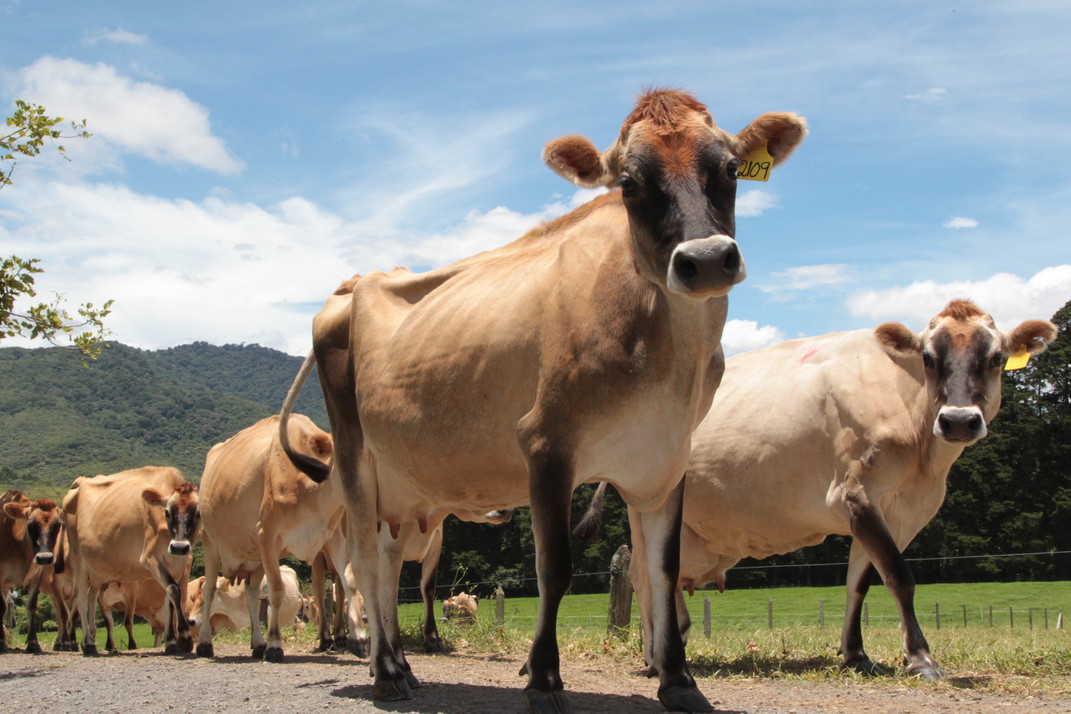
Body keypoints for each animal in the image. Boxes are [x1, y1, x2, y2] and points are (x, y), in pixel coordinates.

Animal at [61, 466, 201, 655]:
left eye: (198, 513)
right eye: (167, 512)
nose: (179, 546)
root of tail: (81, 481)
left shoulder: (180, 562)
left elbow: (170, 598)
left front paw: (171, 641)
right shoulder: (150, 557)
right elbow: (174, 590)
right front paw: (184, 639)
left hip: (96, 570)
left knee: (91, 597)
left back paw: (91, 640)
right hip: (78, 558)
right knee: (81, 598)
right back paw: (88, 644)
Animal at [282, 90, 805, 714]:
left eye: (729, 169)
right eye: (628, 183)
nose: (703, 260)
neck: (669, 354)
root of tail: (356, 282)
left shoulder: (666, 456)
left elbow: (662, 568)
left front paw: (678, 680)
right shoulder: (546, 443)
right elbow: (553, 569)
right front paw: (544, 680)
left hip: (402, 483)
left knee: (385, 563)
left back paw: (404, 665)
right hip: (354, 453)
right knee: (362, 558)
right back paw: (384, 671)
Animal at [582, 299, 1058, 685]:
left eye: (996, 358)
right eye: (928, 357)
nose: (959, 420)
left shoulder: (904, 511)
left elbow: (861, 581)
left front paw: (856, 654)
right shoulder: (855, 493)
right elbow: (900, 577)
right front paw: (921, 659)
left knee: (670, 574)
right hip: (646, 502)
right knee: (645, 574)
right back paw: (654, 657)